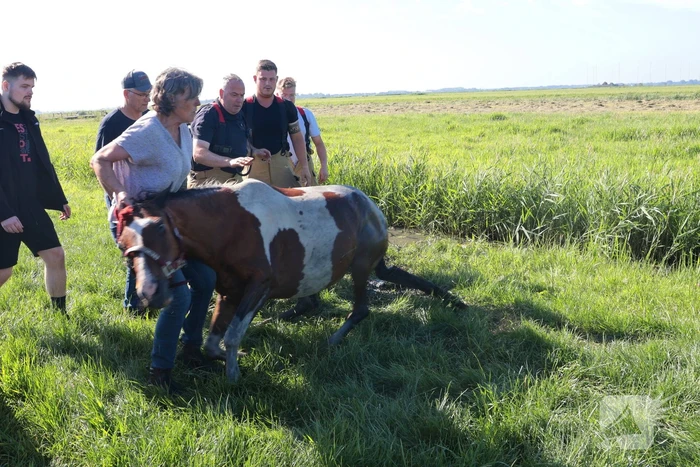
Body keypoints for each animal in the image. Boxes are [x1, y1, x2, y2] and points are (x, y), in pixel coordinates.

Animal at [116, 179, 465, 382]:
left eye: (160, 228)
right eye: (122, 243)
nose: (150, 294)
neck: (231, 226)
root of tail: (372, 207)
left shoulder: (259, 287)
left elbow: (231, 337)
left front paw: (234, 378)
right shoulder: (229, 291)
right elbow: (214, 342)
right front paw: (231, 361)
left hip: (361, 266)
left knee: (361, 309)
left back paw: (333, 340)